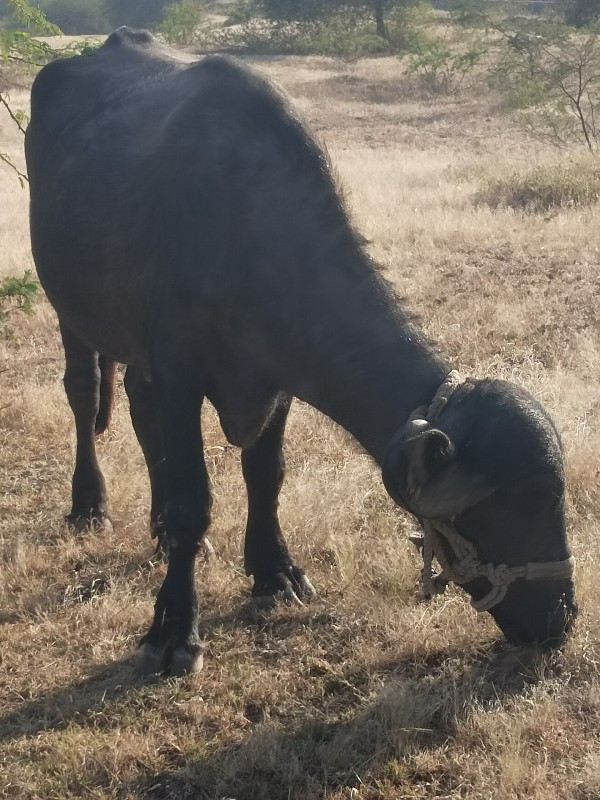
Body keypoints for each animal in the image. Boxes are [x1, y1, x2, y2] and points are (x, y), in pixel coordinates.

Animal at [27, 26, 576, 676]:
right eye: (533, 498)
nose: (563, 617)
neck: (248, 235)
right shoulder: (181, 372)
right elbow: (194, 501)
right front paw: (175, 628)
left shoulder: (275, 381)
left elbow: (266, 475)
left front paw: (275, 571)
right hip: (69, 308)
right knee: (85, 396)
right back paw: (90, 503)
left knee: (139, 404)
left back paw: (155, 523)